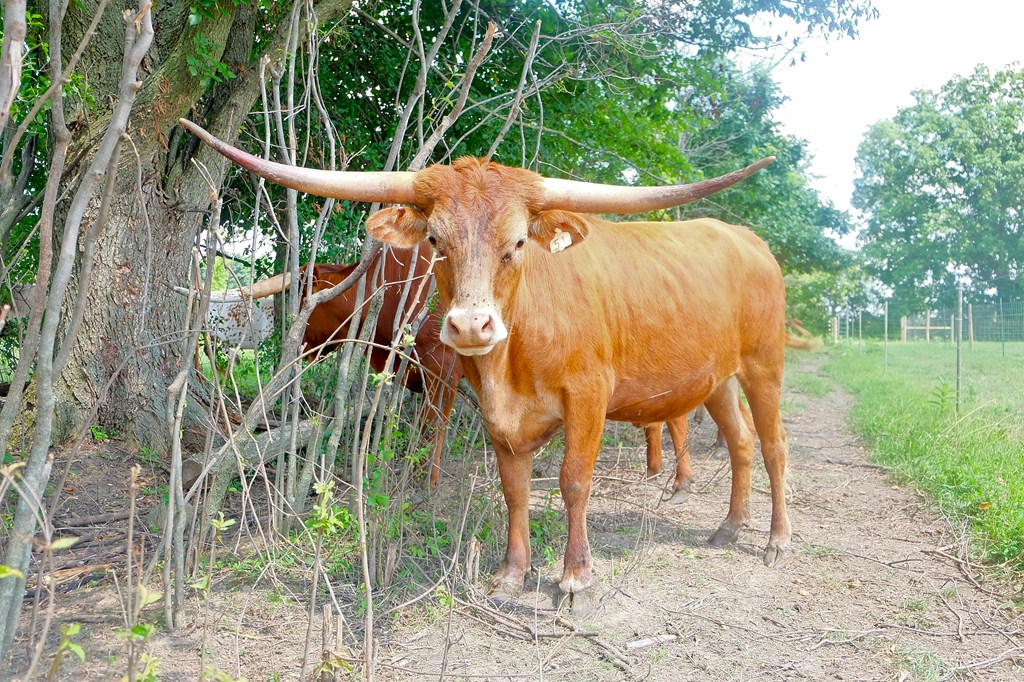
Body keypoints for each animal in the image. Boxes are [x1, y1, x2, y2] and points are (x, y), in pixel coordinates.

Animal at [181, 118, 791, 601]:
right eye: (434, 239)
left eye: (518, 243)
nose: (472, 325)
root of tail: (747, 239)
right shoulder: (496, 411)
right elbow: (513, 488)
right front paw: (510, 574)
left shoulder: (583, 396)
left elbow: (572, 480)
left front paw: (575, 577)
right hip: (717, 378)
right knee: (739, 441)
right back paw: (729, 527)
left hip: (764, 366)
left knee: (772, 445)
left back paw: (776, 540)